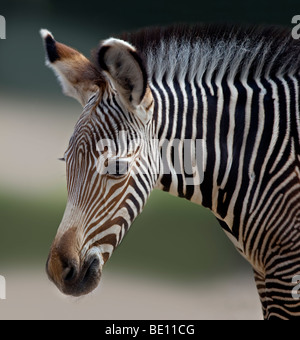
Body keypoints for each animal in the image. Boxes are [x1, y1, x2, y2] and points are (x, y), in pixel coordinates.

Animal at [41, 24, 300, 318]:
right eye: (66, 162)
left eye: (117, 168)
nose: (58, 272)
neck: (264, 158)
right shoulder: (264, 274)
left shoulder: (285, 274)